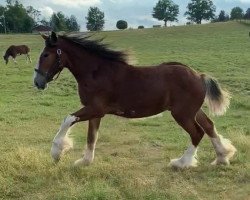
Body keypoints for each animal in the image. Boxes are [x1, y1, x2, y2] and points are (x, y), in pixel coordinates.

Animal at [33, 31, 236, 169]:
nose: (38, 81)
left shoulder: (95, 109)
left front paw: (57, 152)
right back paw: (222, 157)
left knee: (197, 133)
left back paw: (181, 163)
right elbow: (92, 136)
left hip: (182, 114)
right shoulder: (95, 112)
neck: (96, 72)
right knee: (209, 126)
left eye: (46, 55)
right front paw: (85, 161)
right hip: (193, 111)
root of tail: (199, 76)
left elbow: (68, 119)